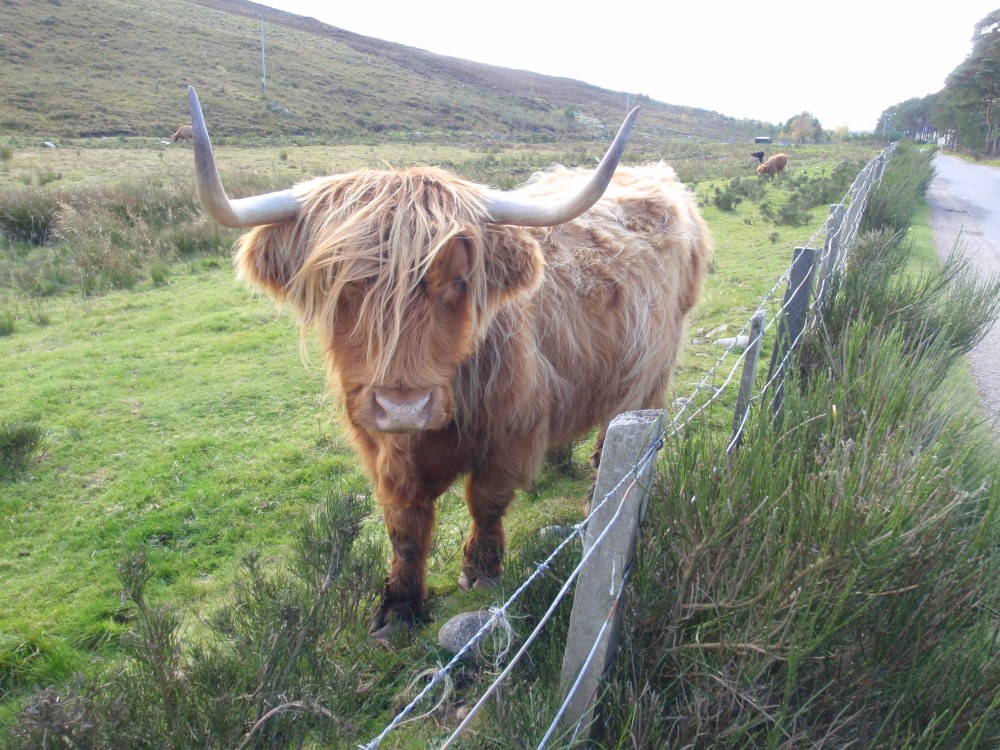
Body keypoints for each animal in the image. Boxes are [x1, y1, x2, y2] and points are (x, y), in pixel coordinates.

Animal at [186, 86, 712, 638]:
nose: (402, 407)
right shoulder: (378, 447)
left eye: (458, 280)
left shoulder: (512, 434)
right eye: (340, 283)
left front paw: (480, 570)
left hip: (651, 373)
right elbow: (405, 525)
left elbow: (486, 500)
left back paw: (598, 501)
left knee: (620, 433)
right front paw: (397, 608)